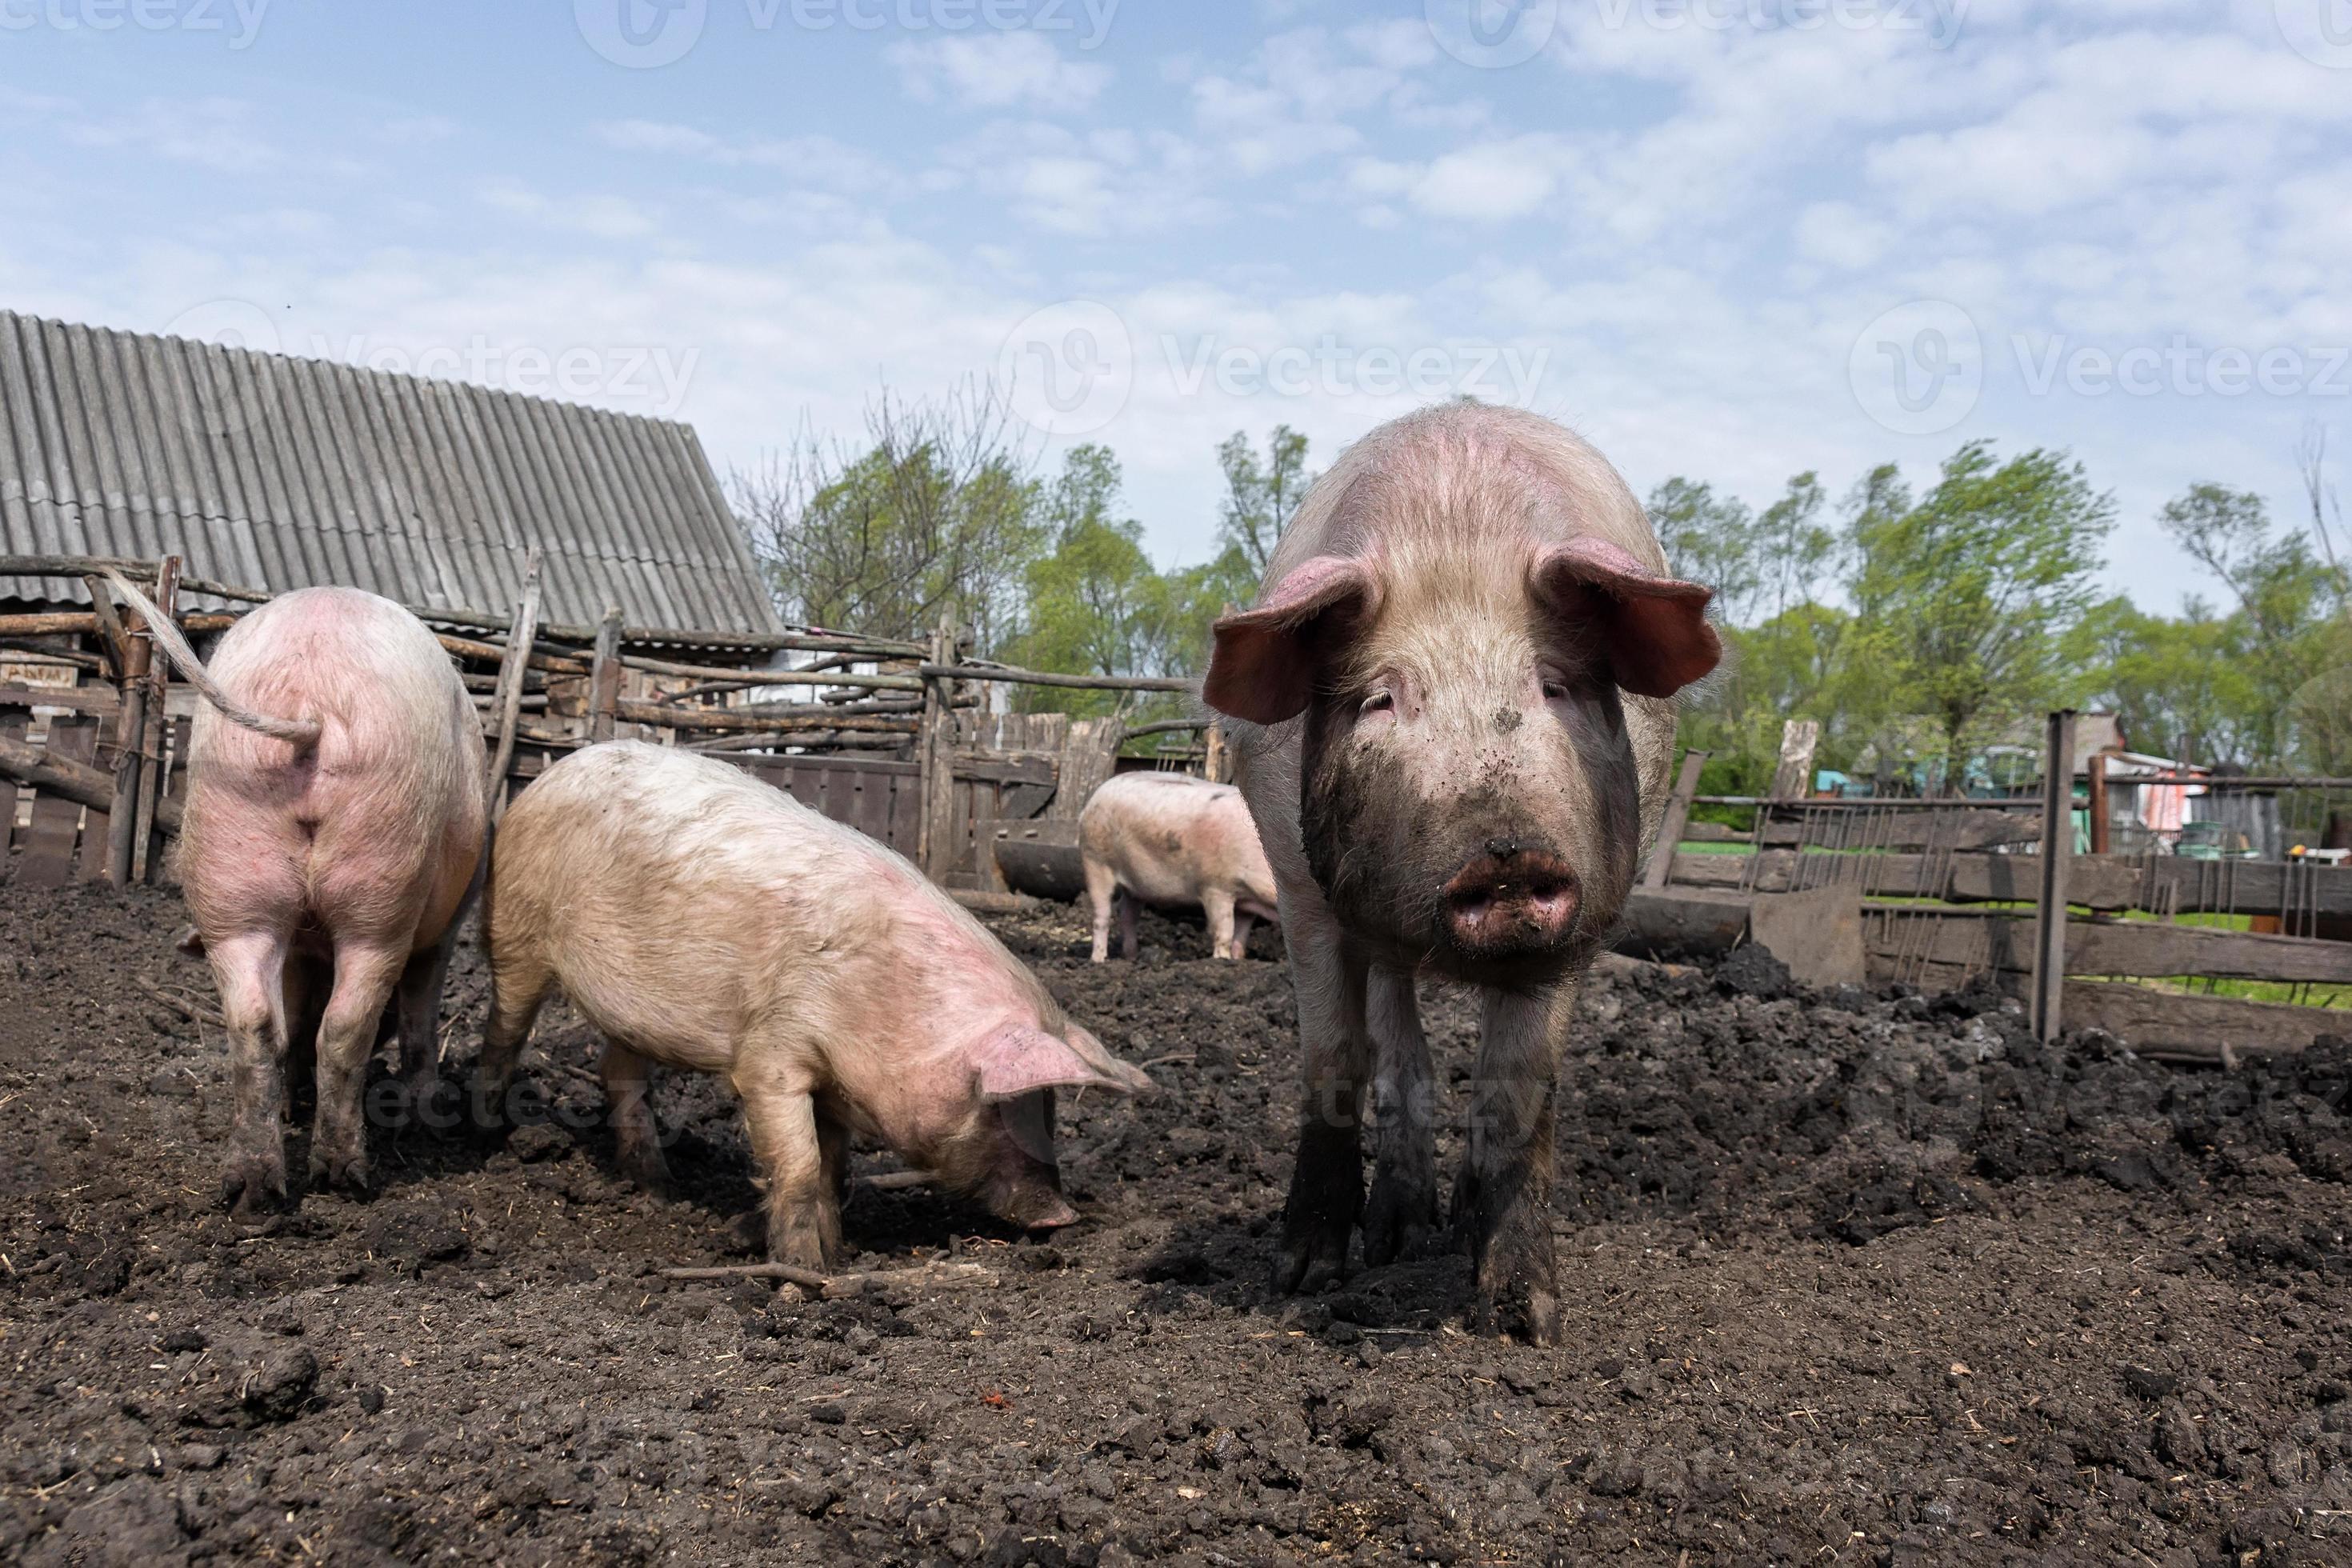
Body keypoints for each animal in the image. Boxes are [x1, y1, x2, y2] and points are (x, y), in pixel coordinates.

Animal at [106, 574, 489, 1214]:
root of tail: (312, 702)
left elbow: (293, 1011)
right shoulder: (443, 932)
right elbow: (416, 1018)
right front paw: (423, 1118)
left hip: (233, 863)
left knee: (256, 1023)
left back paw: (253, 1190)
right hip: (385, 872)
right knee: (345, 1024)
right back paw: (343, 1177)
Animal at [472, 740, 1152, 1268]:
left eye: (1051, 1111)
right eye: (1001, 1107)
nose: (1061, 1217)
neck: (887, 1002)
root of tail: (553, 773)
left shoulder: (834, 1084)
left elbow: (833, 1168)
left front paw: (836, 1253)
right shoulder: (773, 1051)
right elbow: (798, 1165)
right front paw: (805, 1274)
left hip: (631, 1016)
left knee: (618, 1072)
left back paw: (657, 1183)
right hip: (514, 932)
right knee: (504, 1032)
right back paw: (491, 1132)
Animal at [1079, 772, 1279, 962]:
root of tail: (1092, 800)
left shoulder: (1245, 901)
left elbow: (1241, 935)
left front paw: (1238, 960)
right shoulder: (1215, 887)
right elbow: (1224, 932)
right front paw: (1222, 959)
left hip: (1134, 885)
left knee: (1127, 915)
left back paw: (1132, 957)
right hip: (1095, 860)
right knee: (1102, 915)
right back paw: (1098, 960)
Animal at [1198, 404, 1721, 1343]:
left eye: (1553, 685)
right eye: (1381, 699)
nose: (1506, 854)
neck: (1454, 534)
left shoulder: (1580, 919)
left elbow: (1517, 1088)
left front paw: (1525, 1320)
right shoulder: (1300, 891)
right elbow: (1335, 1056)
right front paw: (1301, 1276)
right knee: (1400, 1050)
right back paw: (1399, 1236)